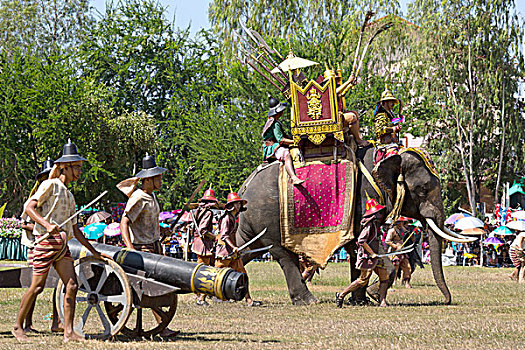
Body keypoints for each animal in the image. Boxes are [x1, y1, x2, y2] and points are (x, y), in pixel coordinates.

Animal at [235, 144, 472, 304]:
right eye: (422, 189)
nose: (446, 300)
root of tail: (245, 187)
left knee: (245, 249)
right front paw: (374, 294)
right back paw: (308, 301)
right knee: (284, 256)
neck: (386, 155)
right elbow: (368, 242)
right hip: (269, 217)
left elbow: (356, 249)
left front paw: (361, 300)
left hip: (253, 221)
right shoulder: (363, 200)